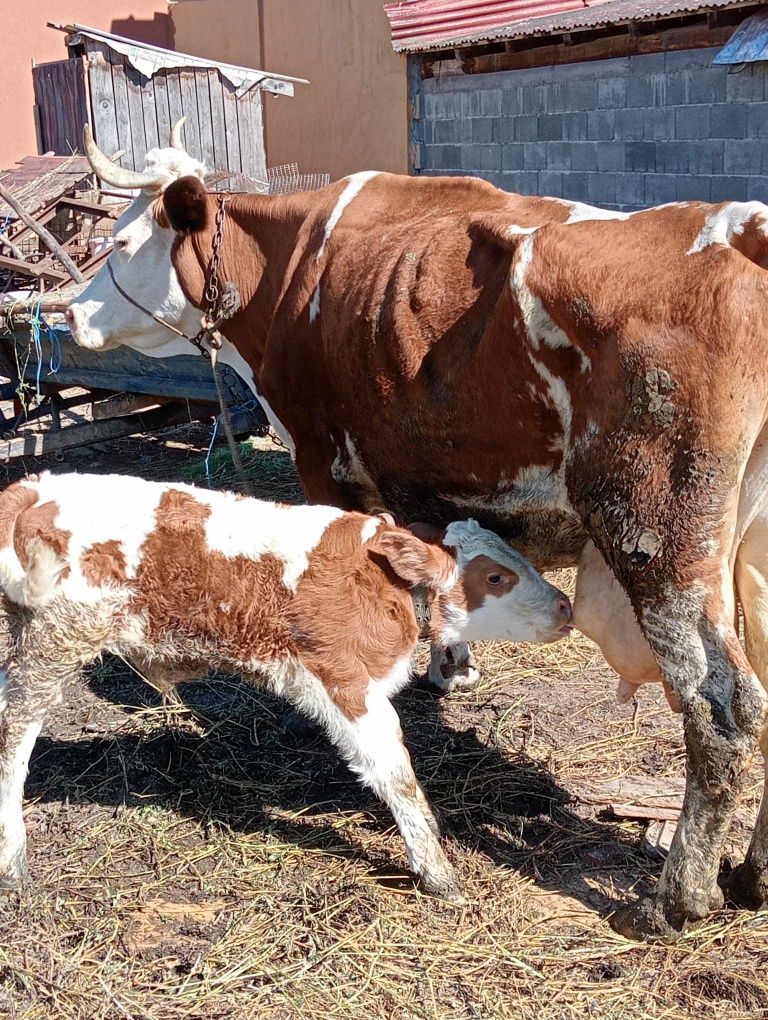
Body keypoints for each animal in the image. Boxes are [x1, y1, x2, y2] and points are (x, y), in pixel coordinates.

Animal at [0, 473, 571, 897]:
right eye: (495, 577)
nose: (566, 607)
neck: (383, 581)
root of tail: (32, 490)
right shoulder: (345, 681)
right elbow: (395, 773)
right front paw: (436, 871)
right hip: (54, 641)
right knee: (13, 735)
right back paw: (12, 859)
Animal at [67, 133, 768, 938]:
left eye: (122, 240)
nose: (69, 314)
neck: (291, 265)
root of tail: (742, 229)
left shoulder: (322, 463)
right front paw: (452, 663)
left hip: (661, 534)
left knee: (725, 711)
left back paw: (673, 902)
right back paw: (751, 877)